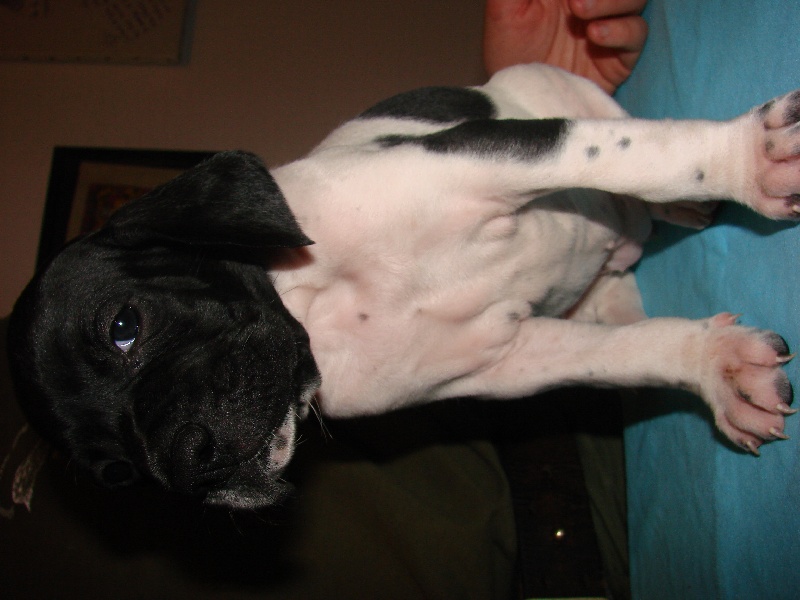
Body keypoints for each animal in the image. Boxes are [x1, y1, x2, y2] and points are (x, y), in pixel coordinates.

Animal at [7, 64, 800, 509]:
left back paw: (687, 202)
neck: (314, 302)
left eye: (124, 327)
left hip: (555, 90)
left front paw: (743, 160)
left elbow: (646, 156)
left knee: (628, 142)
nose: (184, 466)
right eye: (118, 474)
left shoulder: (484, 157)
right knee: (618, 297)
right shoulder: (505, 360)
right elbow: (622, 357)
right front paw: (711, 367)